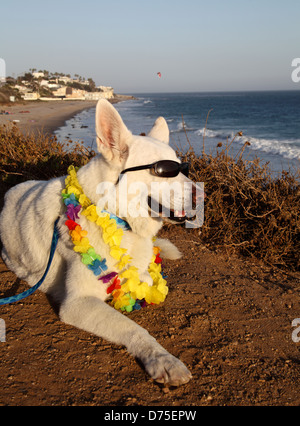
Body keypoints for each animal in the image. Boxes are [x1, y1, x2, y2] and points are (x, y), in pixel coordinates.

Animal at [0, 100, 193, 386]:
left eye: (181, 168)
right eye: (163, 172)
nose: (202, 194)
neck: (115, 216)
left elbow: (146, 278)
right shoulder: (78, 303)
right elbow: (134, 328)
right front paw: (161, 358)